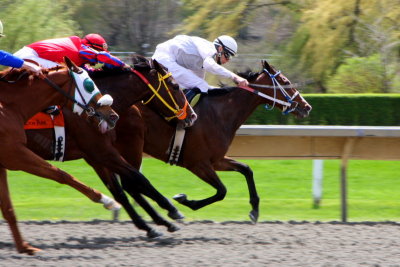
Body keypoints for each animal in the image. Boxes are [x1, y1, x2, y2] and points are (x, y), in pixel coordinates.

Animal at [0, 58, 119, 255]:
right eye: (89, 85)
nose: (113, 116)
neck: (8, 106)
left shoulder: (2, 163)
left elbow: (8, 207)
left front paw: (25, 247)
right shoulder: (15, 154)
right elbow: (62, 174)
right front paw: (107, 200)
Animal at [23, 56, 197, 243]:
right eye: (175, 86)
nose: (192, 116)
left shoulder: (96, 157)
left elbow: (119, 191)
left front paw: (150, 225)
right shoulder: (102, 151)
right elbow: (139, 179)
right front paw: (172, 210)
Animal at [122, 60, 312, 224]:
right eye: (285, 81)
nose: (307, 107)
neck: (219, 114)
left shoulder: (216, 160)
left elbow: (246, 169)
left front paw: (254, 210)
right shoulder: (197, 163)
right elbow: (222, 191)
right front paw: (185, 200)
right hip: (132, 148)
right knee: (131, 182)